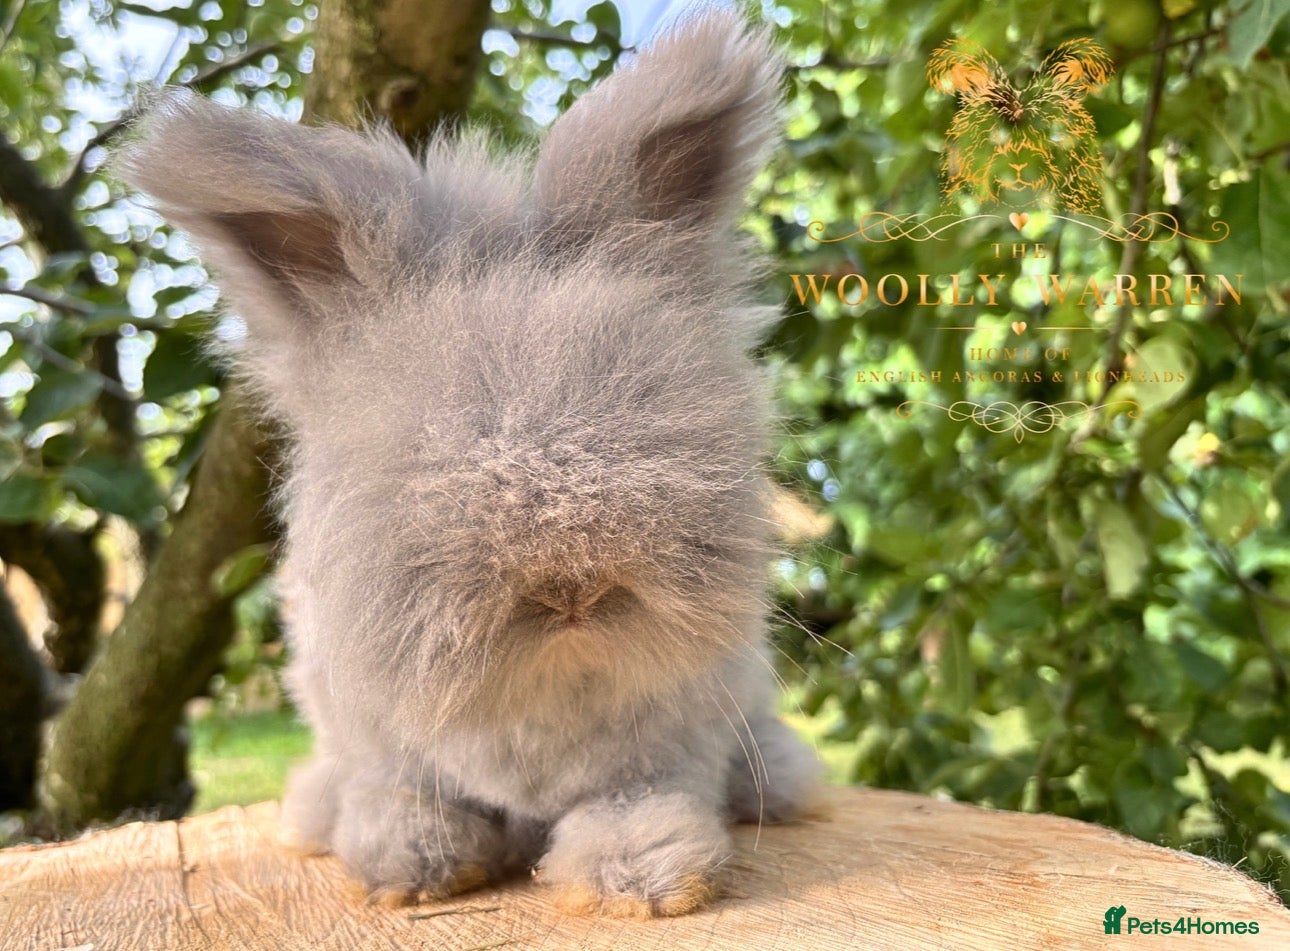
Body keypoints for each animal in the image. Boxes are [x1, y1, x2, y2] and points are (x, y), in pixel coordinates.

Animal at [117, 9, 820, 919]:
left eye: (659, 420)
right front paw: (411, 863)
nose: (570, 589)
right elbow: (398, 793)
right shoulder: (377, 738)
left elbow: (635, 798)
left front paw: (642, 878)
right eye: (421, 454)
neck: (543, 682)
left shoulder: (672, 744)